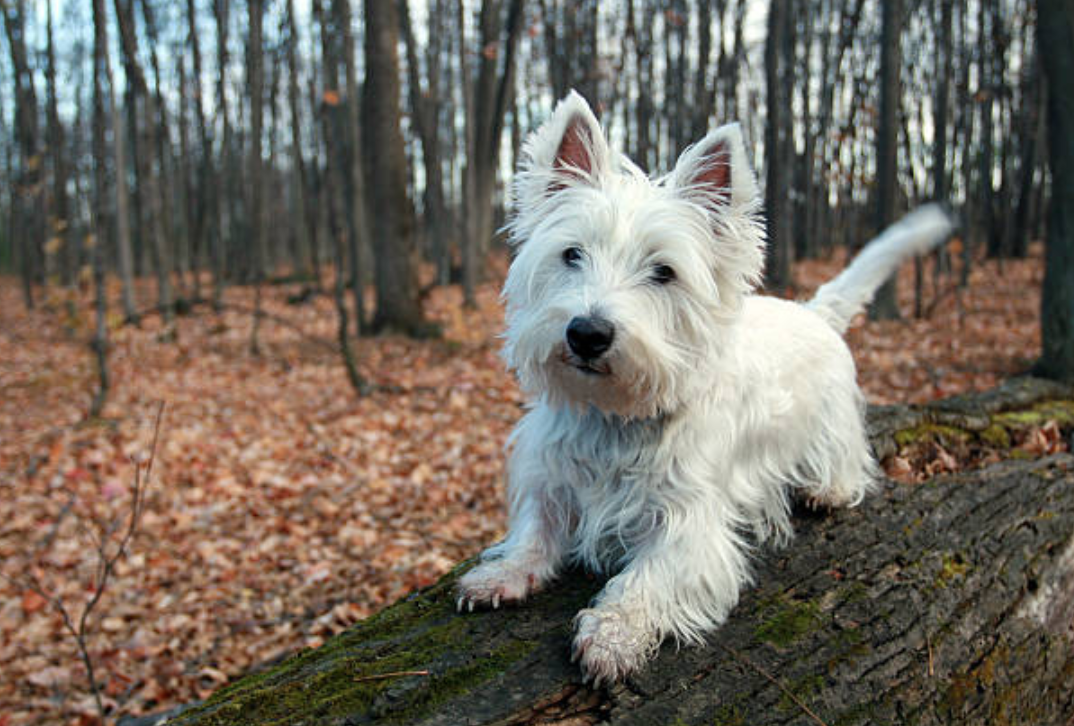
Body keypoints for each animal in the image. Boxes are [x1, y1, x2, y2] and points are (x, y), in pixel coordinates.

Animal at [457, 92, 953, 687]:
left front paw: (613, 633)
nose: (587, 333)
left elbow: (646, 577)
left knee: (848, 464)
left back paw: (825, 489)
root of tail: (814, 312)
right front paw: (502, 573)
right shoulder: (550, 476)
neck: (616, 417)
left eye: (663, 272)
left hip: (831, 425)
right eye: (572, 254)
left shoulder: (692, 523)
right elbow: (534, 530)